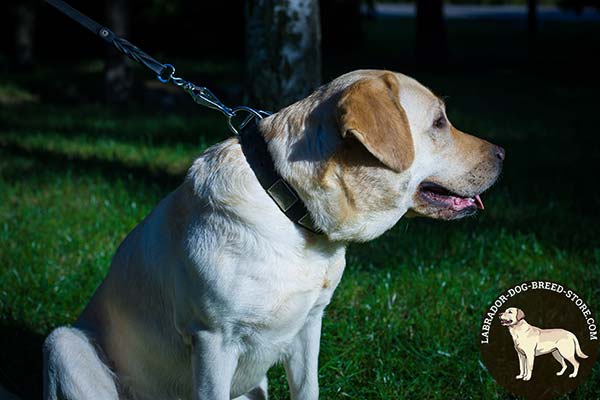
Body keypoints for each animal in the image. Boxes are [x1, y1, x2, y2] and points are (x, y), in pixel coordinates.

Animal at [42, 70, 504, 398]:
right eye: (440, 122)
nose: (503, 153)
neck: (290, 206)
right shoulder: (213, 341)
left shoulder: (309, 324)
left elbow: (308, 388)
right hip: (61, 344)